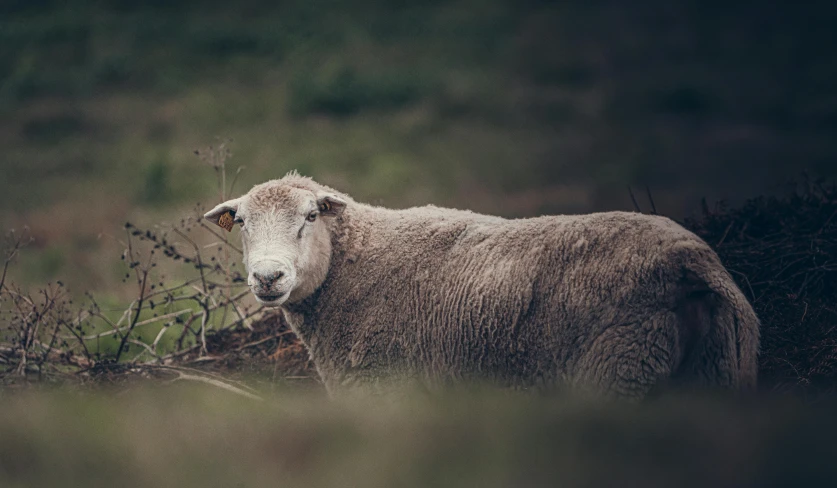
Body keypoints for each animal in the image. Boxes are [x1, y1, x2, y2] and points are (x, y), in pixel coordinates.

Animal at [204, 173, 756, 398]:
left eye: (311, 216)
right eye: (243, 222)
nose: (268, 277)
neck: (353, 263)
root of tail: (694, 262)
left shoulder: (385, 386)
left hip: (621, 365)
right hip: (713, 370)